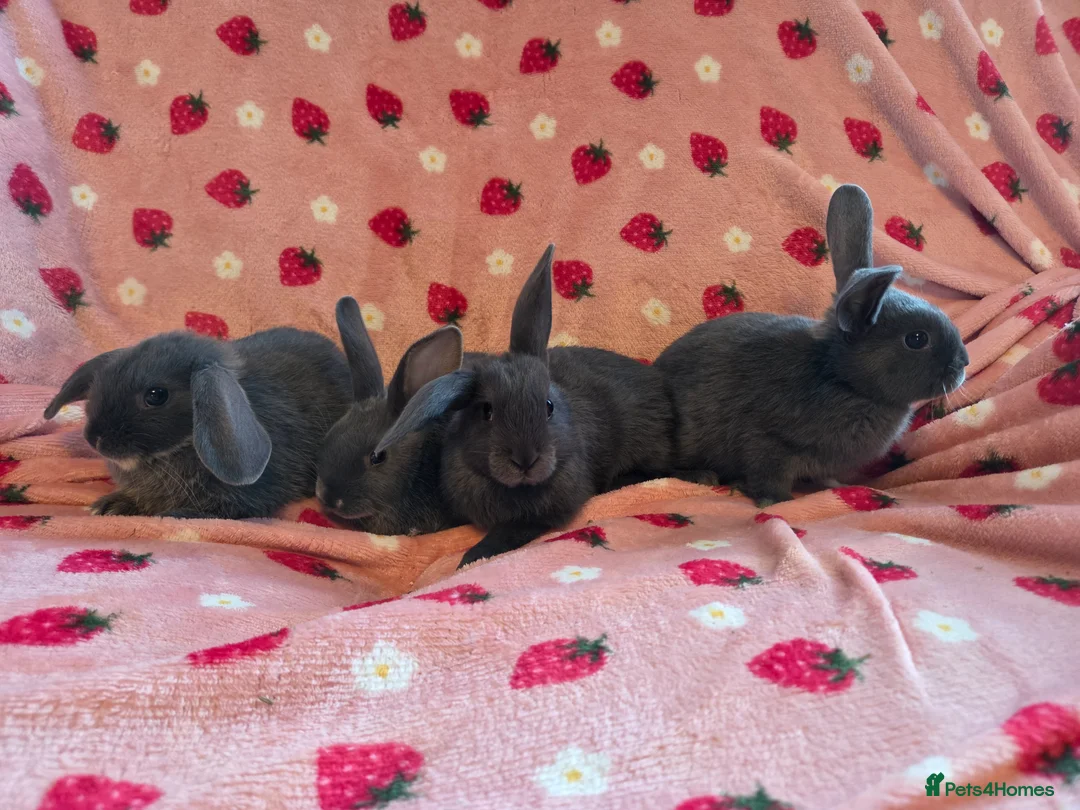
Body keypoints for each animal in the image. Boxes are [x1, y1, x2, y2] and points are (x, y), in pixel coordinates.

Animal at [374, 244, 675, 567]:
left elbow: (509, 532)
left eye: (549, 406)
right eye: (487, 411)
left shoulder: (542, 515)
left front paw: (471, 557)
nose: (525, 460)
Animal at [653, 184, 969, 505]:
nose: (963, 363)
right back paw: (702, 476)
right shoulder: (768, 440)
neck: (843, 379)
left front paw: (834, 486)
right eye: (917, 339)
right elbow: (768, 474)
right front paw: (778, 501)